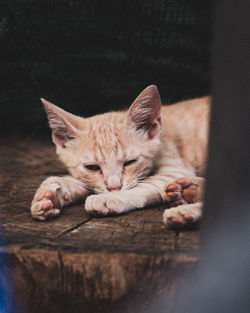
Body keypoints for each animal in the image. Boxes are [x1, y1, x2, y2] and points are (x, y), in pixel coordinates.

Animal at [30, 85, 210, 227]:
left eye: (130, 162)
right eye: (92, 167)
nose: (114, 188)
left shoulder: (175, 169)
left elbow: (145, 185)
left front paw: (110, 198)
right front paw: (51, 194)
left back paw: (184, 209)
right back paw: (188, 190)